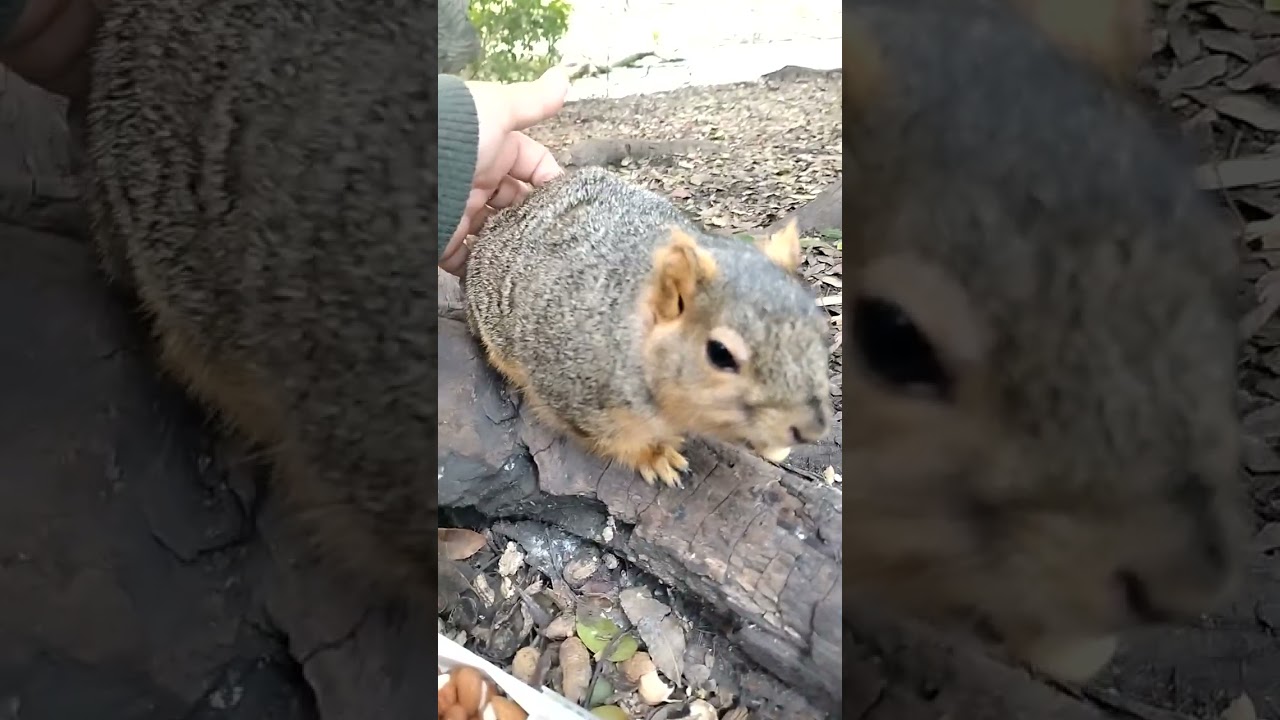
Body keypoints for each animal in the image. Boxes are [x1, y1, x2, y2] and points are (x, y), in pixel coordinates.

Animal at [463, 167, 834, 488]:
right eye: (719, 353)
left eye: (822, 330)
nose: (812, 429)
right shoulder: (571, 393)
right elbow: (613, 439)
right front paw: (656, 457)